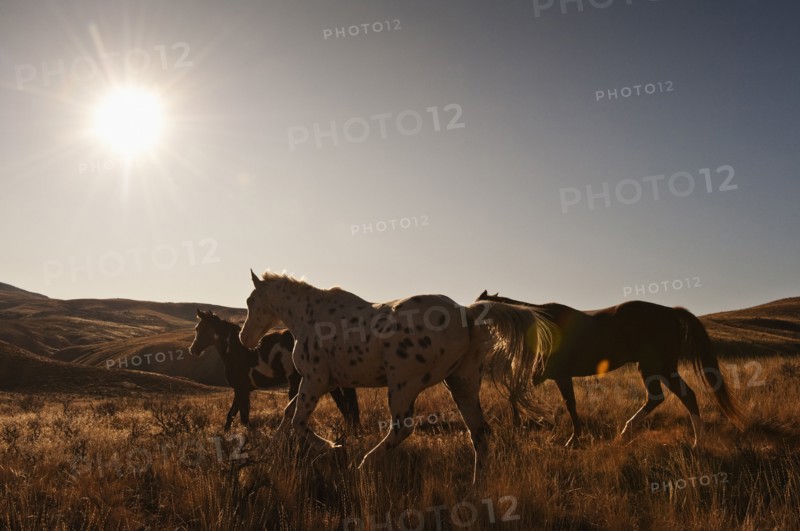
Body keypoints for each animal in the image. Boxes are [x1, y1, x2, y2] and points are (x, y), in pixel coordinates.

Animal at [189, 309, 360, 432]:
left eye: (200, 328)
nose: (193, 350)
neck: (236, 352)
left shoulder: (241, 389)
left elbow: (243, 418)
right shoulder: (241, 390)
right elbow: (231, 415)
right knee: (344, 406)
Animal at [239, 271, 557, 482]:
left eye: (250, 301)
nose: (244, 338)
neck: (310, 317)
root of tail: (467, 313)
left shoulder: (314, 381)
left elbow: (297, 421)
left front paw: (334, 448)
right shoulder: (322, 383)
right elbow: (288, 415)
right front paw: (268, 455)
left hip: (403, 385)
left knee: (403, 428)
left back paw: (365, 464)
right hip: (461, 385)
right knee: (479, 433)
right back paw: (478, 485)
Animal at [476, 291, 746, 447]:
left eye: (479, 308)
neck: (542, 325)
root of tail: (671, 312)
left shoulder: (557, 375)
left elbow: (565, 404)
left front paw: (572, 439)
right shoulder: (546, 375)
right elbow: (518, 395)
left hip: (658, 366)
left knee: (681, 395)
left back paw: (695, 441)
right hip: (653, 367)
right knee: (662, 397)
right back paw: (629, 433)